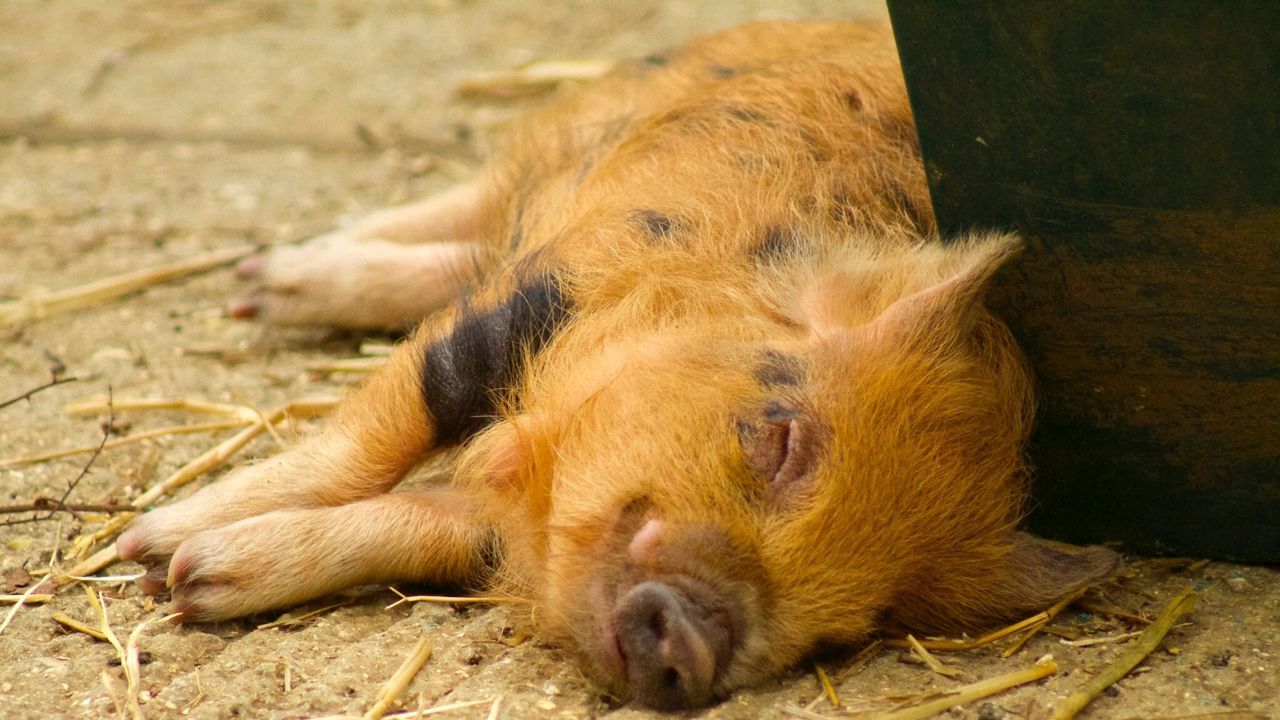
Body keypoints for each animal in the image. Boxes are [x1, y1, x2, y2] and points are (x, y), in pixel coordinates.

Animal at [120, 20, 1121, 707]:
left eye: (870, 617)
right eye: (780, 438)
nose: (696, 642)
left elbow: (423, 524)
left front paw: (196, 584)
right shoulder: (541, 288)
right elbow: (382, 426)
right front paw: (154, 550)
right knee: (464, 210)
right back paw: (254, 281)